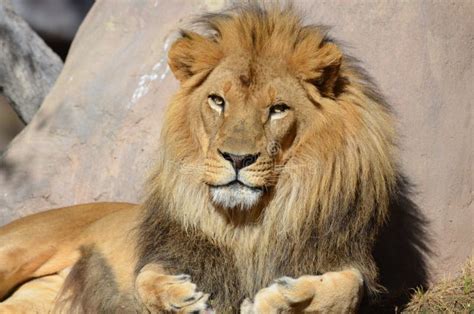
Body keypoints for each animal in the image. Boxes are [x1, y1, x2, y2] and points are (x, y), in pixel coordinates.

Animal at [0, 3, 400, 312]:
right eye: (218, 101)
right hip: (18, 247)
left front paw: (281, 298)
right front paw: (179, 296)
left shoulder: (346, 260)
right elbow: (145, 278)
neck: (248, 227)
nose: (237, 159)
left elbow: (348, 288)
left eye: (278, 109)